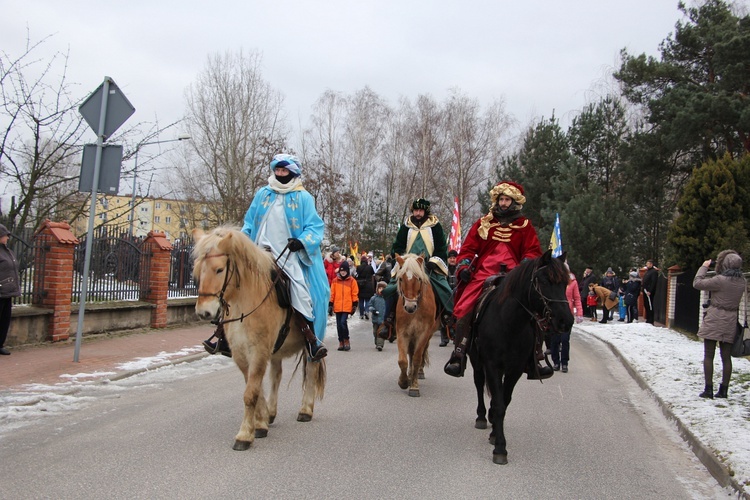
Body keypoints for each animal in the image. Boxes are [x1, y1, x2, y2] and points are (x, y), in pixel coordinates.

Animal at [191, 225, 326, 452]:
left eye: (219, 269)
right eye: (198, 270)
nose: (204, 312)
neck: (244, 305)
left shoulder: (259, 350)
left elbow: (250, 393)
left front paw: (245, 435)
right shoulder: (242, 354)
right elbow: (255, 388)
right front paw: (260, 423)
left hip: (311, 345)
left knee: (311, 369)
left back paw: (306, 410)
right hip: (276, 350)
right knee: (276, 375)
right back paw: (271, 413)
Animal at [394, 256, 440, 396]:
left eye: (418, 278)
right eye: (401, 278)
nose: (410, 307)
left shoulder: (423, 333)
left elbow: (417, 358)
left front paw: (414, 386)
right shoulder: (402, 332)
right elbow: (403, 360)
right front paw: (403, 381)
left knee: (420, 353)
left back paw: (418, 372)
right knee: (410, 352)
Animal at [470, 250, 576, 464]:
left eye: (565, 283)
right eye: (544, 281)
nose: (566, 321)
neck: (509, 323)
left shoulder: (515, 369)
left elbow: (504, 400)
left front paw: (496, 435)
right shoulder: (492, 365)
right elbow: (499, 403)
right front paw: (500, 448)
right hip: (477, 361)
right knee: (479, 383)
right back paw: (481, 417)